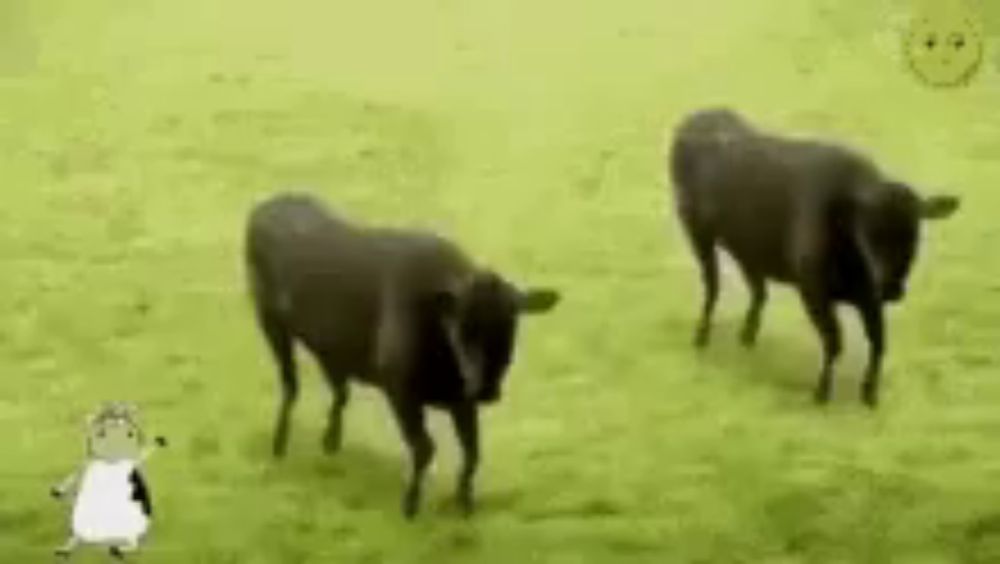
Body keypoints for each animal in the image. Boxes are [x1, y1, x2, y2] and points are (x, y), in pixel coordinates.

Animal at [242, 194, 556, 520]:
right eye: (460, 327)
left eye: (512, 324)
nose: (487, 390)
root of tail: (267, 205)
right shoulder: (401, 391)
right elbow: (424, 448)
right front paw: (411, 504)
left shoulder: (462, 402)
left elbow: (472, 454)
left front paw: (465, 503)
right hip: (269, 320)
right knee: (291, 385)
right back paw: (279, 446)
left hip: (330, 347)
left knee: (339, 391)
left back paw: (330, 442)